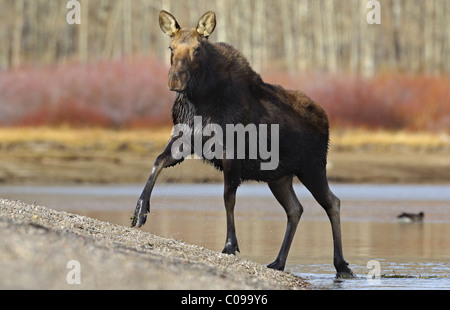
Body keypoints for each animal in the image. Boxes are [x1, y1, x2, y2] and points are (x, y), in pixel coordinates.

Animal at [132, 9, 354, 278]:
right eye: (171, 47)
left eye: (197, 49)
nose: (175, 80)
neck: (199, 101)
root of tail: (326, 119)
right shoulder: (185, 139)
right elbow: (157, 162)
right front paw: (140, 212)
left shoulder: (231, 150)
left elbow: (228, 196)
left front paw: (230, 245)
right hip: (279, 177)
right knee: (296, 209)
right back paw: (278, 262)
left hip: (312, 167)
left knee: (332, 202)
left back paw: (341, 264)